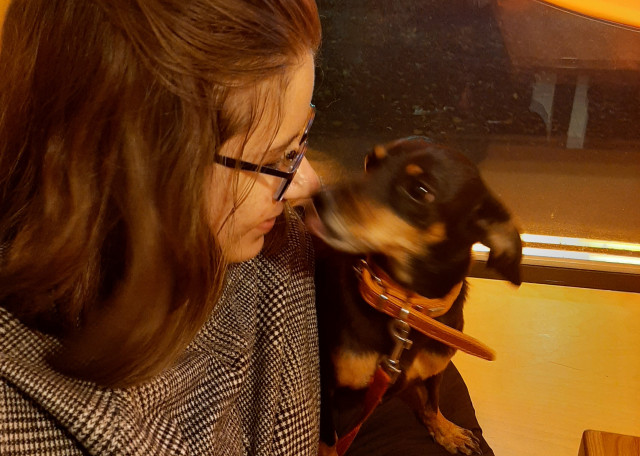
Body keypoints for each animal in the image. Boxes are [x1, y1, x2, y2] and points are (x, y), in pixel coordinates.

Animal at [307, 136, 522, 455]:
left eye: (420, 191)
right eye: (371, 162)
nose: (316, 200)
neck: (405, 307)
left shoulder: (434, 372)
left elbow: (432, 404)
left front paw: (447, 432)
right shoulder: (327, 387)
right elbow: (329, 441)